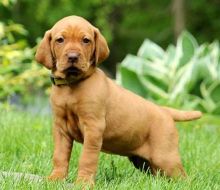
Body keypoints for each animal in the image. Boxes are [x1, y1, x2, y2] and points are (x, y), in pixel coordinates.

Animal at [35, 15, 202, 186]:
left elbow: (87, 158)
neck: (71, 85)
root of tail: (165, 111)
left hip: (165, 156)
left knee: (183, 177)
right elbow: (60, 156)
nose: (73, 57)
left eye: (86, 40)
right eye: (60, 40)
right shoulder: (61, 128)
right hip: (144, 161)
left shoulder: (93, 127)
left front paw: (84, 183)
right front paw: (55, 178)